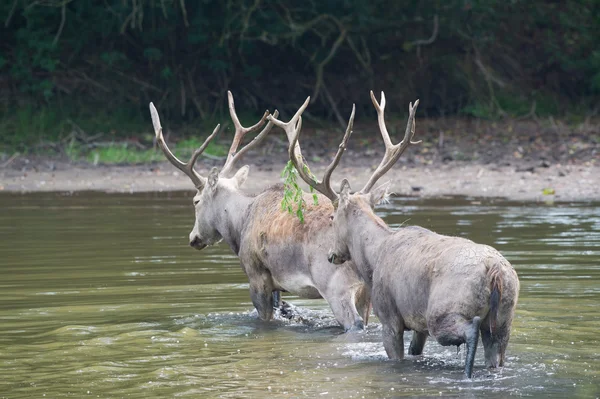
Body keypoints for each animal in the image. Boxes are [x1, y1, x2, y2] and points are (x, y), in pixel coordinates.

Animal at [149, 93, 370, 332]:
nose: (194, 237)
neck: (239, 226)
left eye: (196, 201)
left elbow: (264, 320)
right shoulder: (276, 284)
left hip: (335, 283)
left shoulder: (255, 275)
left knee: (356, 323)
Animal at [284, 91, 516, 382]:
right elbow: (417, 351)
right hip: (505, 317)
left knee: (468, 330)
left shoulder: (389, 316)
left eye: (332, 218)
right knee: (496, 354)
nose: (331, 255)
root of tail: (496, 272)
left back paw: (466, 375)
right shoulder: (417, 324)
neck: (372, 262)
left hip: (444, 309)